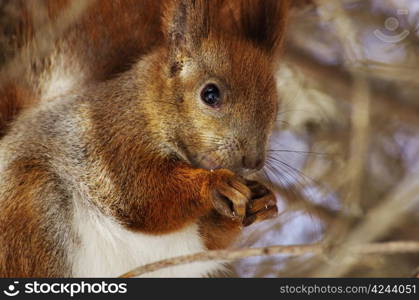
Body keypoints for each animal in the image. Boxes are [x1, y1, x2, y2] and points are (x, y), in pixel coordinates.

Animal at [0, 0, 288, 276]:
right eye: (210, 94)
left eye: (276, 106)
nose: (253, 162)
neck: (150, 106)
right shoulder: (112, 139)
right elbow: (141, 194)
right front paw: (214, 183)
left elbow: (209, 240)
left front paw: (262, 202)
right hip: (32, 213)